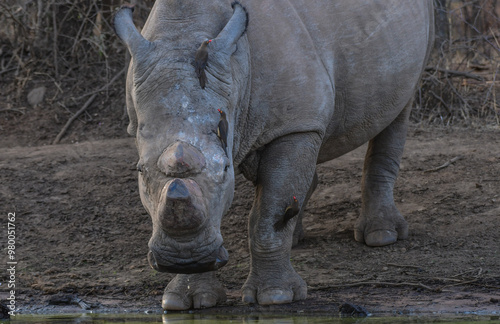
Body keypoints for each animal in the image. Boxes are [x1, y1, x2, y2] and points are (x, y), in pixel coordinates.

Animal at [114, 0, 434, 308]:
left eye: (226, 170)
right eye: (140, 171)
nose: (185, 259)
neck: (184, 34)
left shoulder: (293, 125)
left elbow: (269, 214)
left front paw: (275, 296)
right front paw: (186, 300)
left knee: (397, 113)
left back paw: (381, 236)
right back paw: (296, 239)